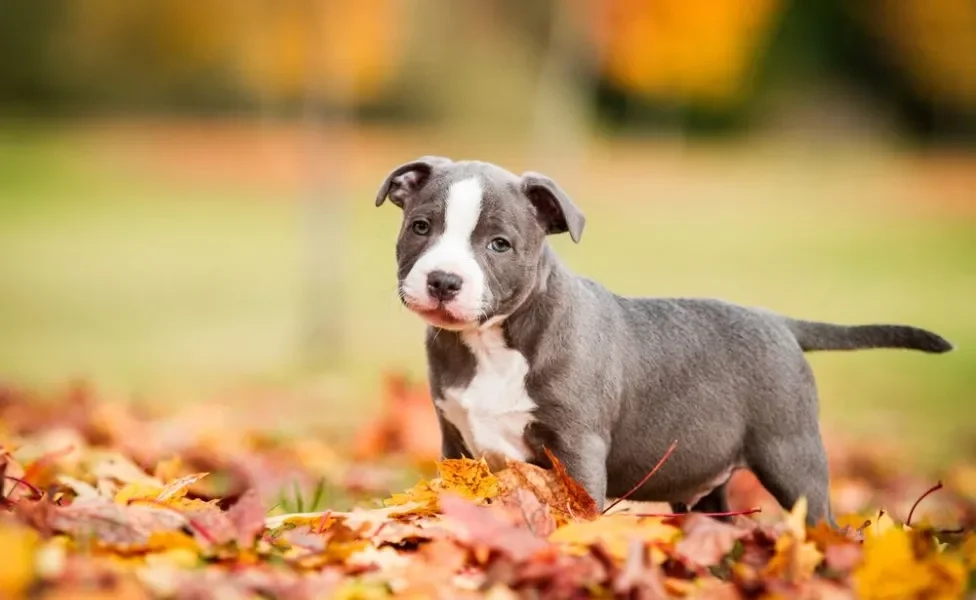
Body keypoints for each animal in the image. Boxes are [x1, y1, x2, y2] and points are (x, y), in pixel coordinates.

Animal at [374, 157, 952, 528]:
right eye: (421, 227)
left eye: (499, 245)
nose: (443, 280)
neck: (493, 342)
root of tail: (780, 323)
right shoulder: (455, 443)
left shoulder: (578, 449)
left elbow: (576, 517)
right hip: (712, 481)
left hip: (792, 454)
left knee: (821, 519)